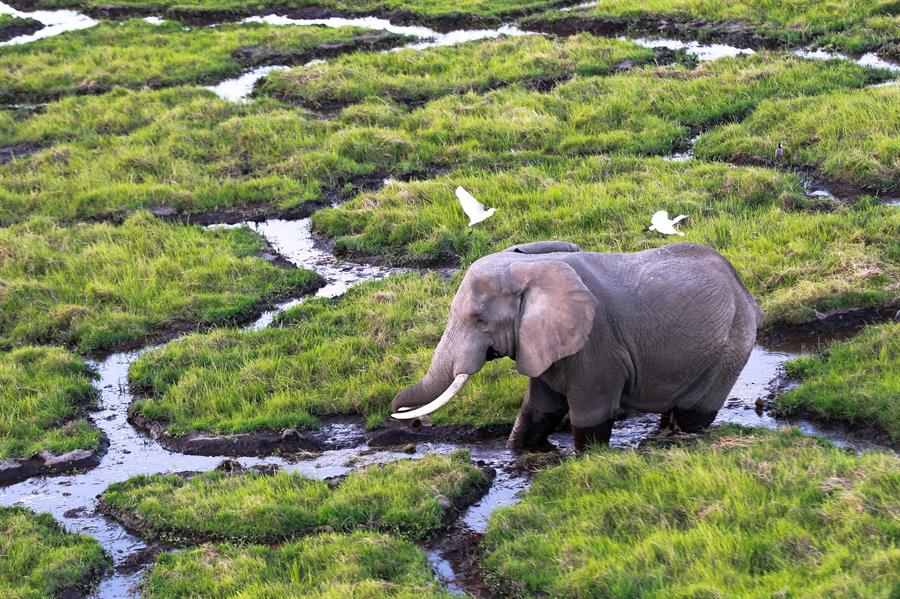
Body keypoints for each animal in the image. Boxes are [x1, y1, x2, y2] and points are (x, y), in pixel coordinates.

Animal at [390, 239, 764, 450]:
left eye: (479, 320)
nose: (409, 422)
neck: (528, 268)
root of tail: (745, 292)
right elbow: (538, 410)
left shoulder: (597, 344)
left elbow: (590, 416)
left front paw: (590, 459)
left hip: (731, 347)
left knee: (693, 413)